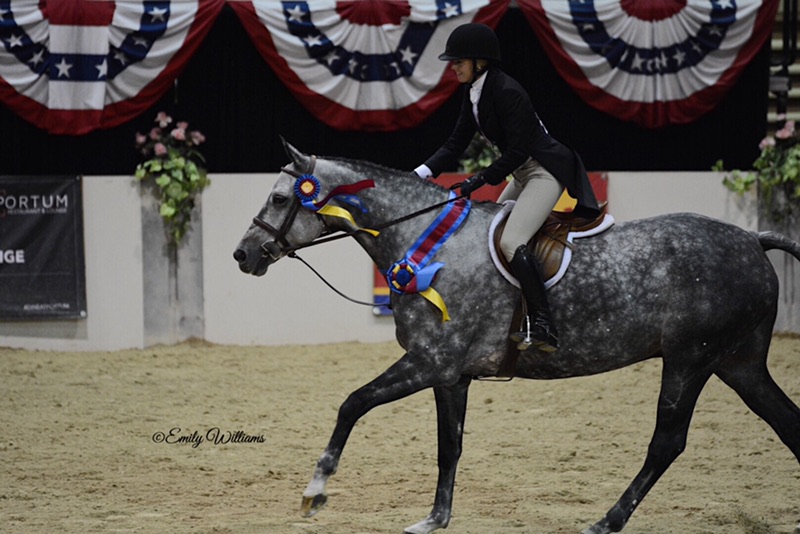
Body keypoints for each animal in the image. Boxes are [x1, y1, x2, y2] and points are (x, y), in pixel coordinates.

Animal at [233, 143, 800, 534]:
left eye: (281, 197)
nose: (243, 255)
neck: (428, 243)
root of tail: (753, 239)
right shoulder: (451, 375)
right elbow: (449, 445)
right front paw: (434, 519)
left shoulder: (430, 362)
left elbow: (353, 403)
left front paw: (315, 491)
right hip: (739, 363)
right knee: (787, 423)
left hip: (690, 359)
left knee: (667, 443)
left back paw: (606, 521)